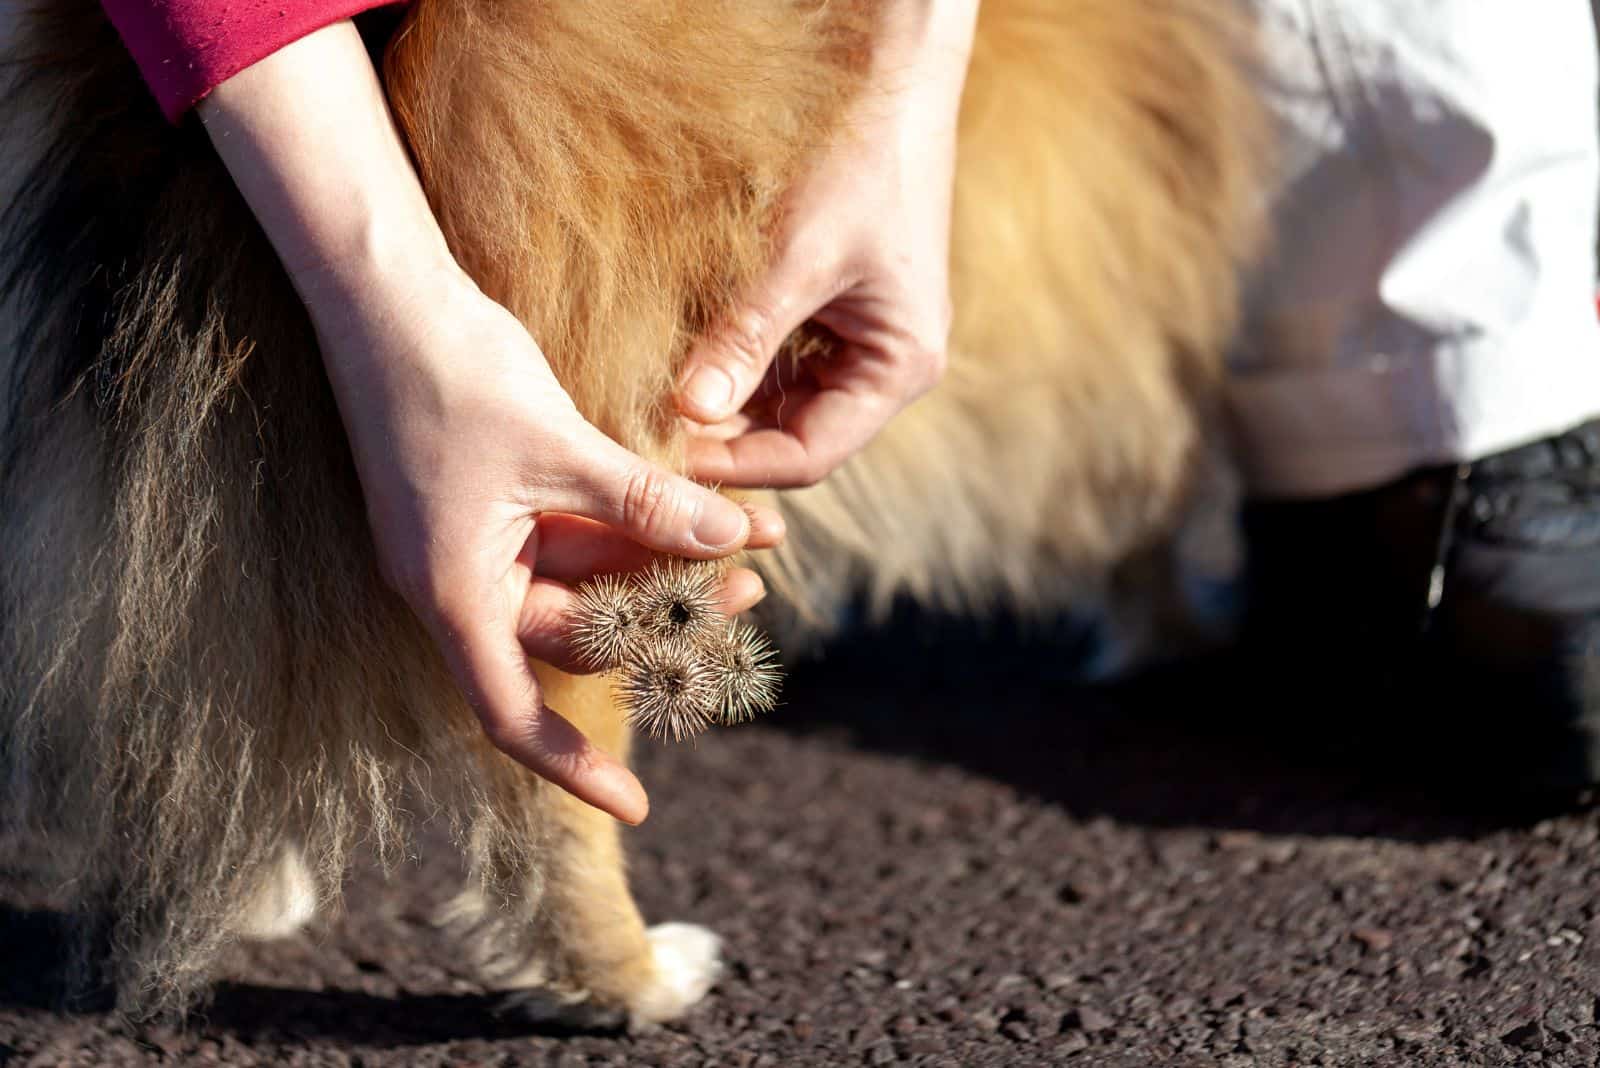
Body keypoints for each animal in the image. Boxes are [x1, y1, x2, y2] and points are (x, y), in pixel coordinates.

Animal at [3, 0, 1273, 1029]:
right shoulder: (1109, 262)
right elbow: (1147, 482)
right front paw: (1174, 627)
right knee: (548, 766)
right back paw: (627, 978)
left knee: (198, 640)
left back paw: (245, 873)